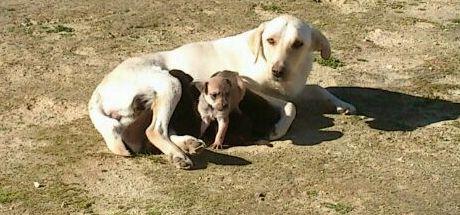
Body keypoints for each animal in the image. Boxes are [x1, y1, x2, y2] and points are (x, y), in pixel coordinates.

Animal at [88, 14, 358, 170]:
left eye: (298, 44)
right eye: (270, 40)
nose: (277, 71)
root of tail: (98, 92)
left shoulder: (293, 87)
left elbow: (316, 88)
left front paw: (343, 104)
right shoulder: (250, 89)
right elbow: (291, 107)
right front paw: (277, 130)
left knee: (158, 132)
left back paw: (188, 145)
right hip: (170, 84)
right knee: (155, 130)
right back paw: (179, 155)